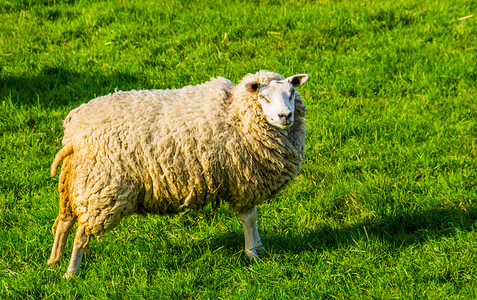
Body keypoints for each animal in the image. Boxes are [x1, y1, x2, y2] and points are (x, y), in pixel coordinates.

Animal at [47, 69, 308, 276]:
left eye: (291, 93)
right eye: (263, 97)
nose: (285, 116)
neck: (236, 114)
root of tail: (75, 132)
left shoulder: (245, 183)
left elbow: (252, 217)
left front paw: (260, 248)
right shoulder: (244, 181)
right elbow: (248, 218)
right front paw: (252, 253)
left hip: (77, 181)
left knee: (65, 221)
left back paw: (54, 260)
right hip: (103, 188)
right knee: (82, 233)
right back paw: (71, 272)